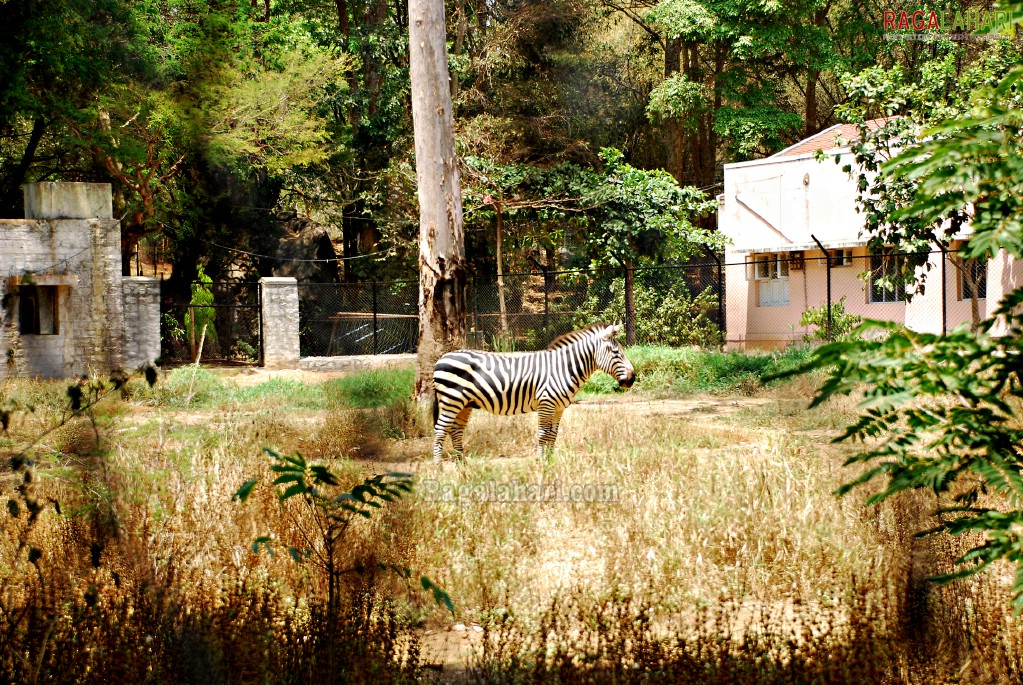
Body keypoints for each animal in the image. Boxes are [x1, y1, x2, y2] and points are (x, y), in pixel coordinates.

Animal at [429, 325, 634, 464]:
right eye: (616, 352)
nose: (632, 379)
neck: (564, 368)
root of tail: (441, 359)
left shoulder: (559, 408)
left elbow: (553, 434)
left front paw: (550, 461)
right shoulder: (546, 403)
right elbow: (543, 434)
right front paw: (541, 462)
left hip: (464, 404)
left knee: (456, 430)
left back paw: (462, 464)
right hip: (451, 400)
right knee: (440, 430)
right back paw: (439, 466)